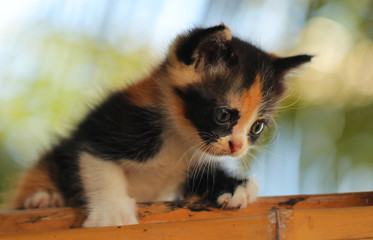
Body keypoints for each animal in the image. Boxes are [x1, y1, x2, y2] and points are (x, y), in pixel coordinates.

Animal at [11, 24, 310, 227]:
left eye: (257, 127)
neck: (178, 136)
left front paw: (234, 185)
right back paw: (43, 197)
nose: (237, 147)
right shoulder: (103, 128)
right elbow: (100, 167)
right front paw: (112, 213)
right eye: (223, 115)